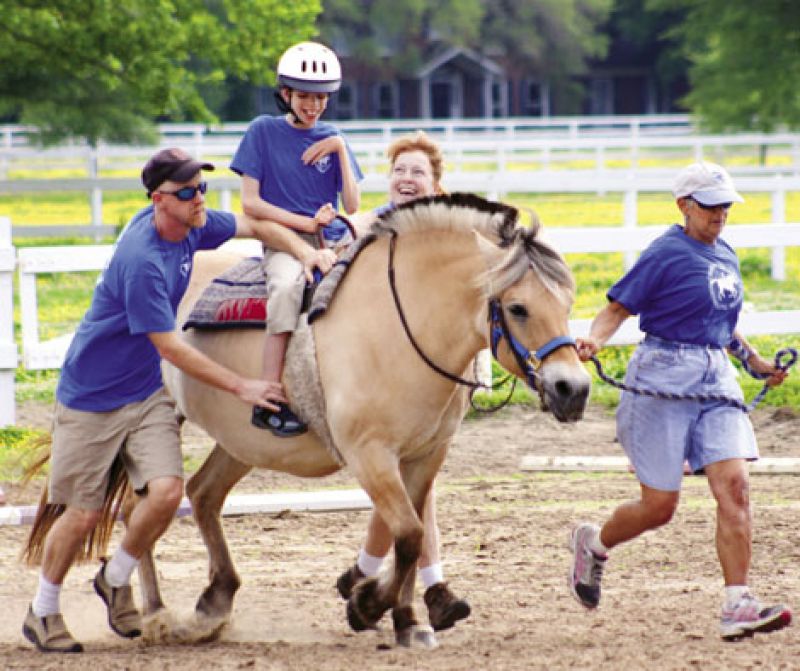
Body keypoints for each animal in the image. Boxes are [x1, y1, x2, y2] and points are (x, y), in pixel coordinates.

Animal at [28, 192, 592, 648]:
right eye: (517, 308)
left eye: (567, 300)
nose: (574, 389)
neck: (401, 322)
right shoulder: (369, 455)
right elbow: (407, 534)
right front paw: (370, 606)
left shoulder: (425, 457)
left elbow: (409, 537)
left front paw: (404, 618)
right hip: (165, 420)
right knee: (141, 508)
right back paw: (153, 613)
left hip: (239, 440)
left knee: (201, 495)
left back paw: (213, 599)